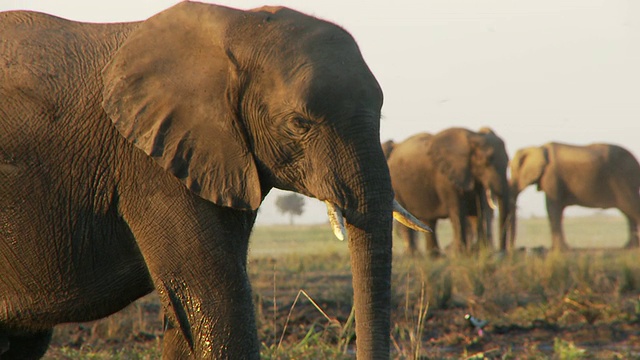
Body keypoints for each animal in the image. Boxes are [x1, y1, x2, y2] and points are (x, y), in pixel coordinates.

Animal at [510, 141, 640, 250]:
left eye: (512, 171)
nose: (518, 249)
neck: (538, 148)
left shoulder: (551, 176)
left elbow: (552, 208)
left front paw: (561, 250)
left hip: (625, 179)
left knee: (631, 208)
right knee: (628, 213)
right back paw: (630, 247)